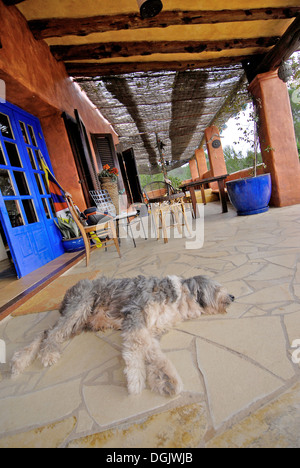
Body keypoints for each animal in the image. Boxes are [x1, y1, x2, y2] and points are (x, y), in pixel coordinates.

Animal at [11, 274, 234, 394]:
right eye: (217, 288)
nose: (233, 296)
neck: (178, 298)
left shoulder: (151, 329)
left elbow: (151, 352)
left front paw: (162, 378)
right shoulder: (134, 315)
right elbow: (136, 348)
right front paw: (136, 379)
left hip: (78, 323)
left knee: (46, 331)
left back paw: (21, 360)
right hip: (80, 306)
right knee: (52, 333)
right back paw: (46, 354)